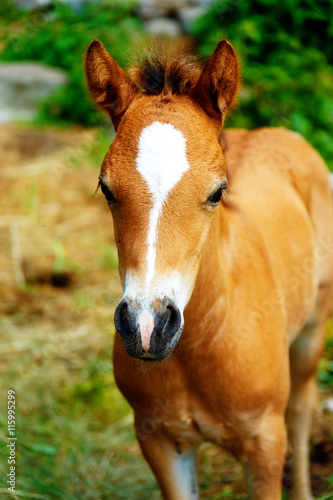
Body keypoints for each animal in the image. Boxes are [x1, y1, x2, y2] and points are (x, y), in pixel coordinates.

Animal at [85, 40, 332, 500]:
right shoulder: (159, 440)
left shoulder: (264, 443)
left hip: (312, 331)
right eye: (106, 188)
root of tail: (284, 133)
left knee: (302, 407)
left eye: (218, 192)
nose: (147, 325)